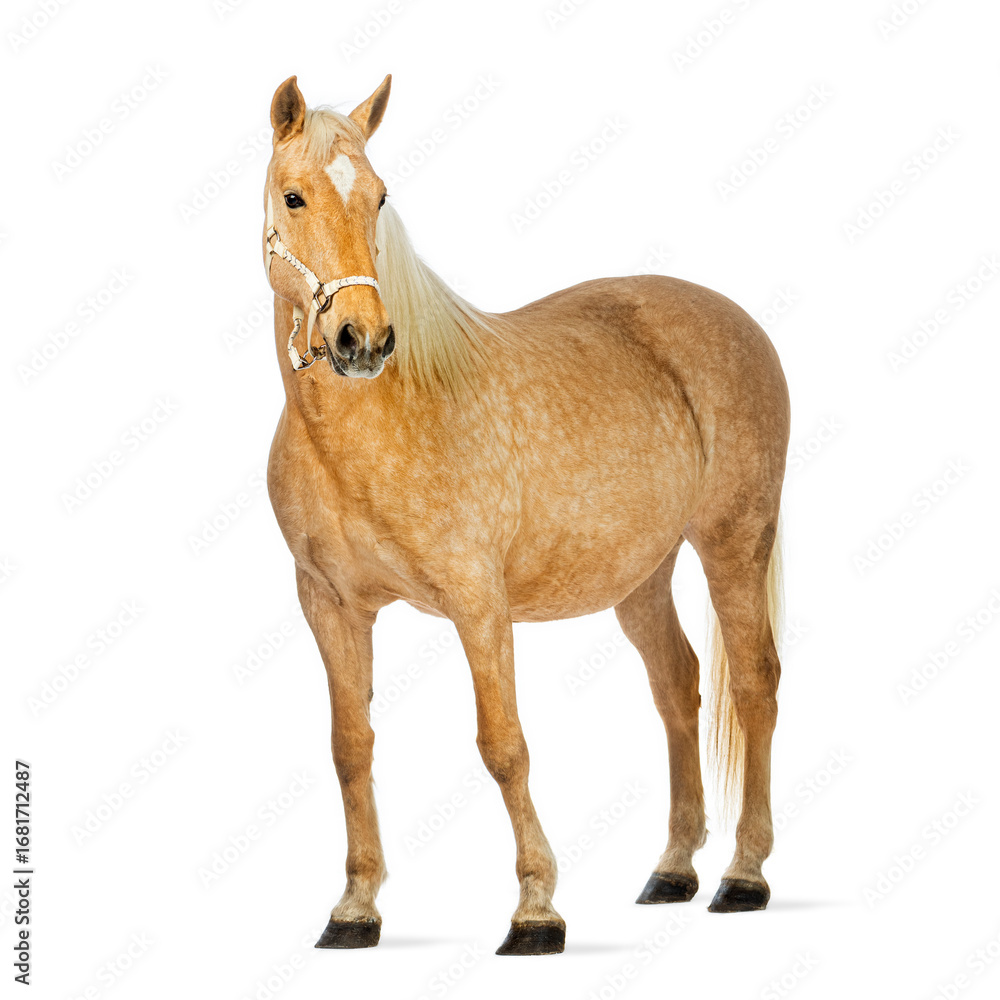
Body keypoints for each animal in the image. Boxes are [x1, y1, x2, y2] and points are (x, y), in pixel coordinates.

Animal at [260, 74, 790, 956]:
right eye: (294, 196)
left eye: (379, 197)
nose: (360, 339)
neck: (377, 426)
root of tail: (737, 320)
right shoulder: (328, 604)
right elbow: (349, 747)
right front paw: (356, 907)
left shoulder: (479, 603)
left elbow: (503, 746)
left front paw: (536, 908)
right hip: (641, 575)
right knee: (677, 685)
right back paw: (674, 868)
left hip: (734, 542)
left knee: (754, 683)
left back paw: (744, 874)